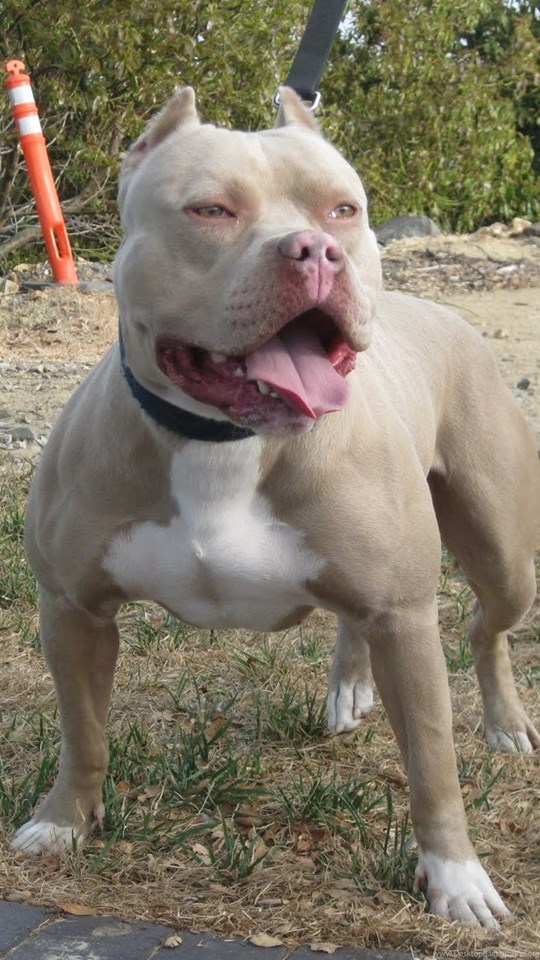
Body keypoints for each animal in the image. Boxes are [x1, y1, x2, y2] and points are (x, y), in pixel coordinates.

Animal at [12, 88, 539, 928]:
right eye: (211, 209)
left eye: (343, 209)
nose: (316, 251)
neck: (225, 439)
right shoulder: (71, 610)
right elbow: (83, 731)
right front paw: (63, 822)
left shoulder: (404, 616)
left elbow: (432, 763)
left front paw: (457, 879)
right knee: (360, 623)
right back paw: (352, 685)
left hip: (499, 552)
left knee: (485, 631)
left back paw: (505, 725)